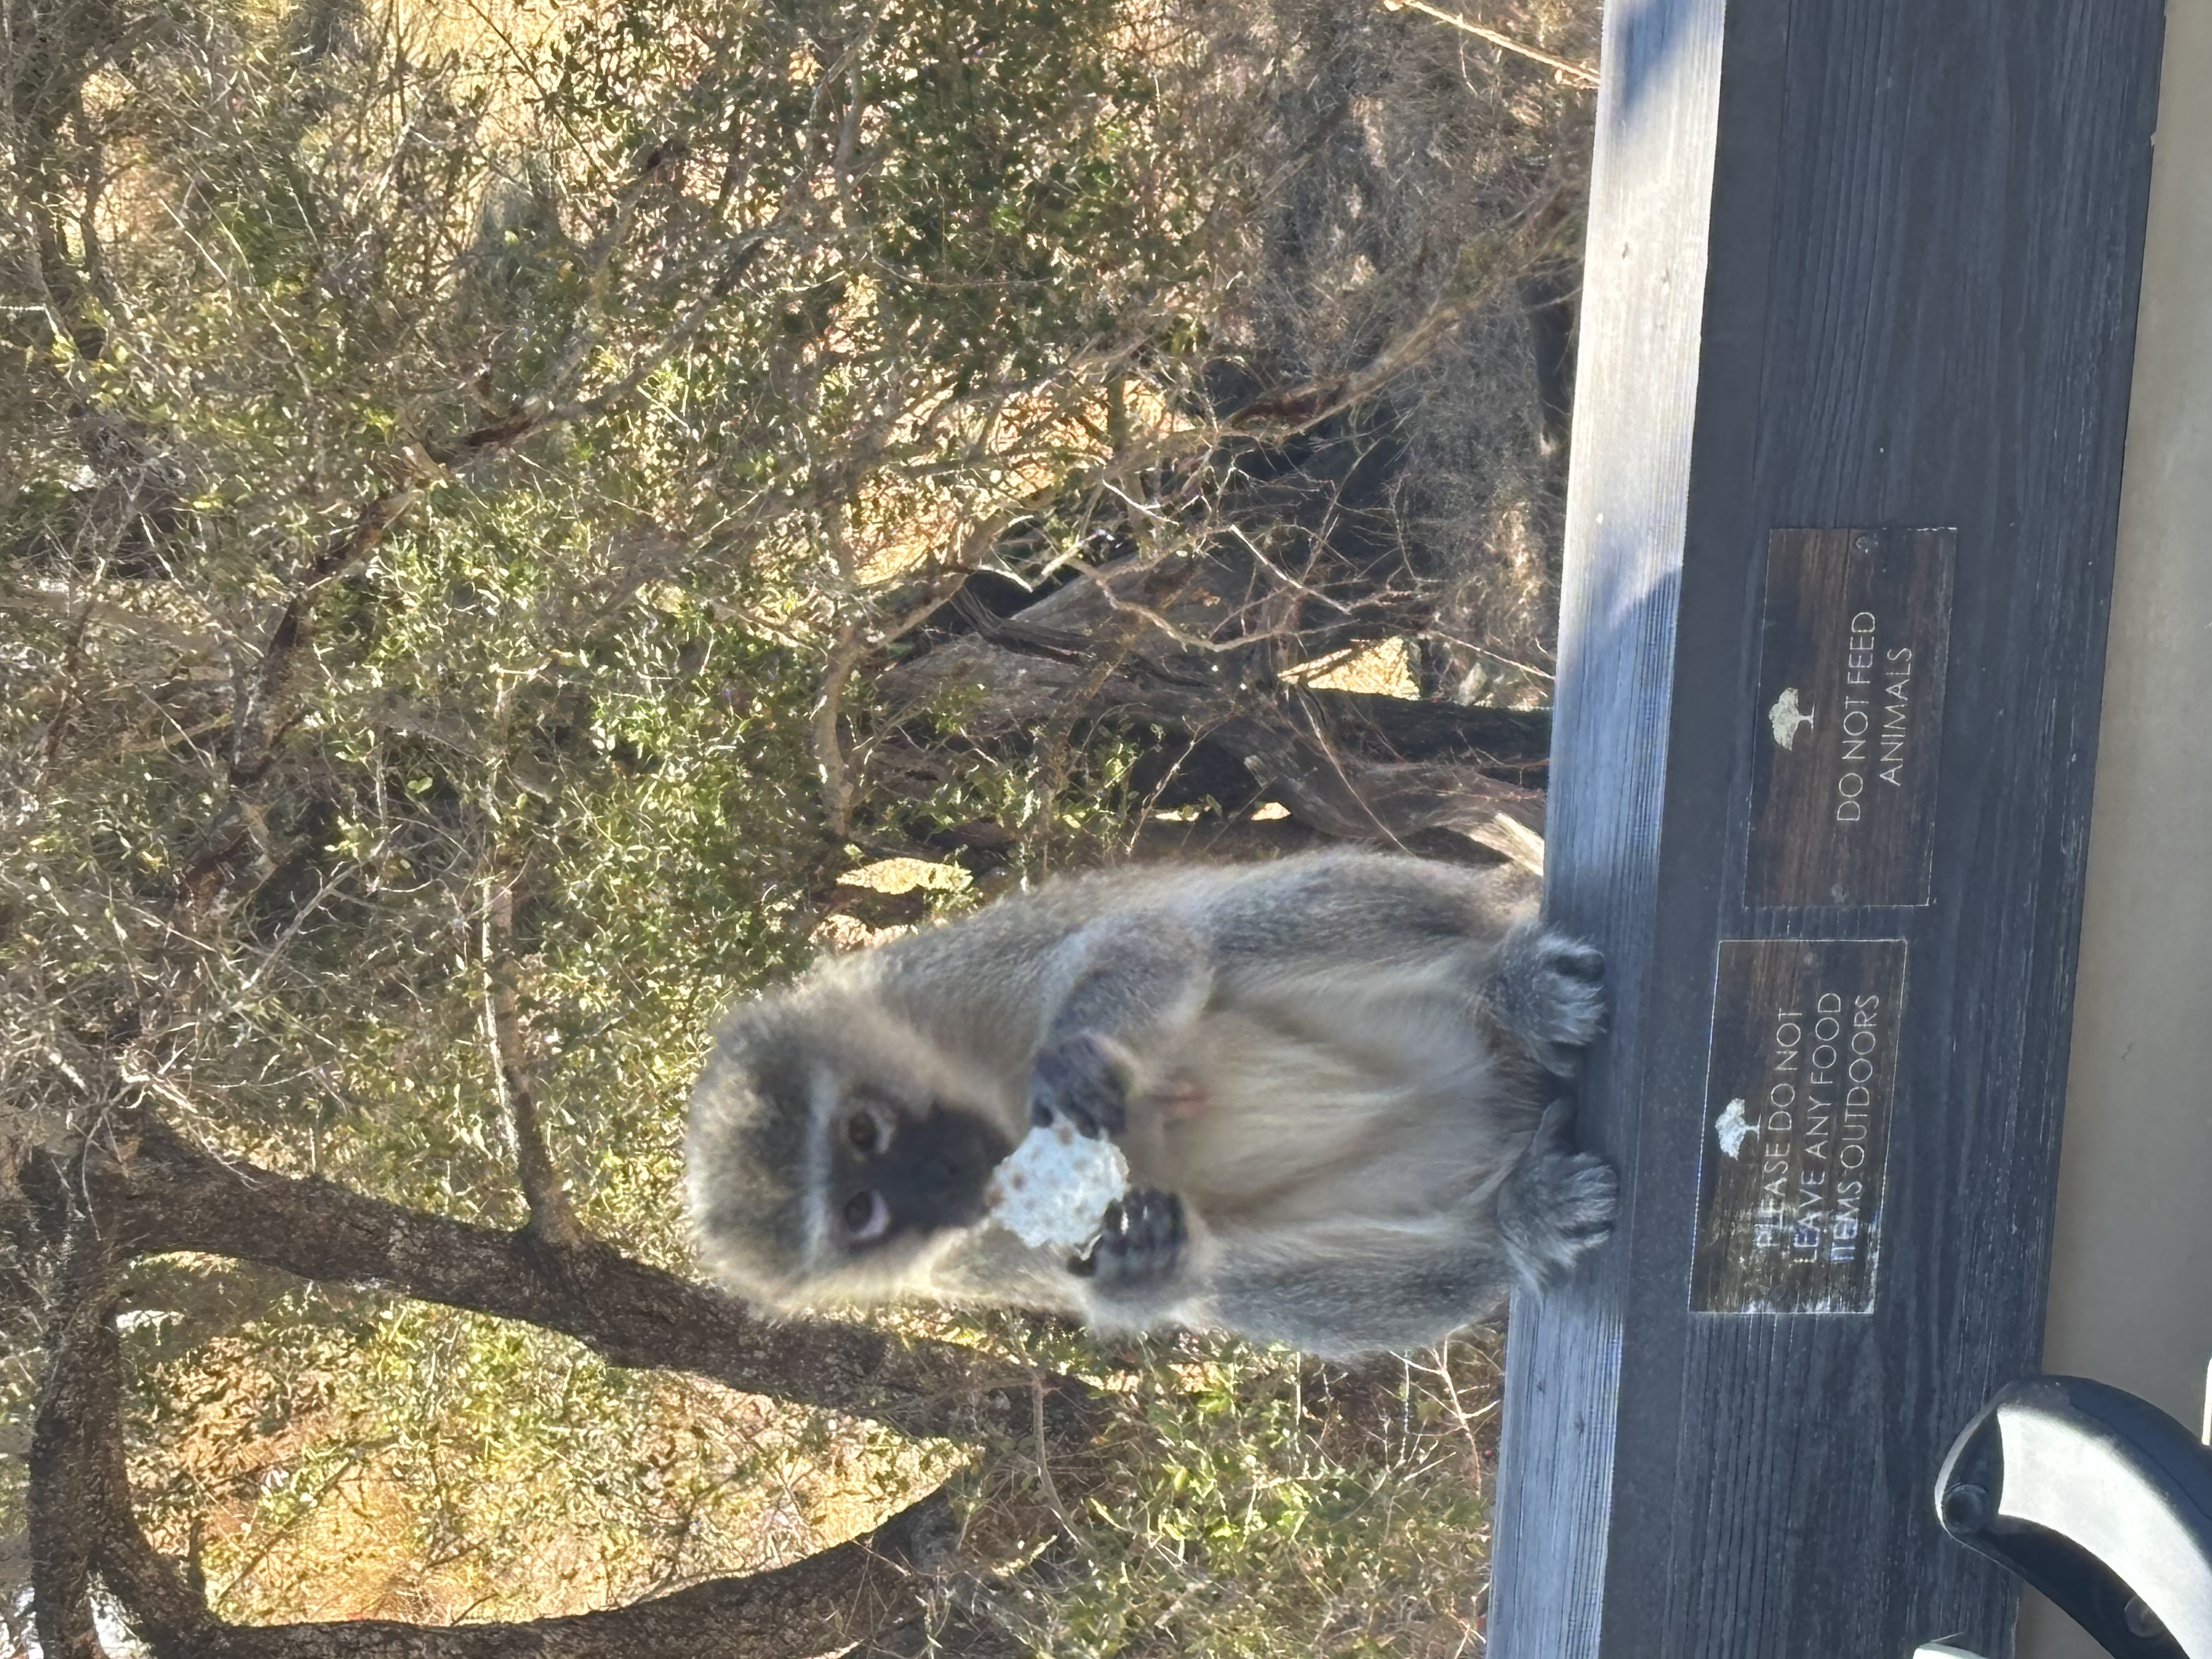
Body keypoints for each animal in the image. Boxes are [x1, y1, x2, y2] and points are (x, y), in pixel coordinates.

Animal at [685, 849, 1614, 1360]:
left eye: (863, 1130)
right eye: (861, 1213)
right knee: (1243, 1278)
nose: (942, 1175)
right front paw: (1139, 1265)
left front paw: (1075, 1060)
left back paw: (1507, 985)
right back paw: (1510, 1220)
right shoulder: (962, 1255)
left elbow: (1144, 943)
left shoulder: (936, 978)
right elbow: (1178, 1285)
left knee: (1215, 933)